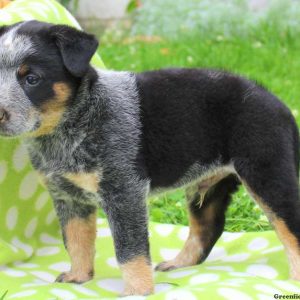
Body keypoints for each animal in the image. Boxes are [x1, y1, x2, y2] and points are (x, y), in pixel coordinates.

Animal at [0, 20, 298, 296]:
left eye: (32, 78)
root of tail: (279, 104)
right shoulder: (69, 197)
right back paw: (179, 263)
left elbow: (129, 250)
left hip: (267, 174)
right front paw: (78, 277)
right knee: (208, 228)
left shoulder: (124, 191)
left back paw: (293, 280)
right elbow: (75, 241)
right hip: (207, 185)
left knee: (289, 227)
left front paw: (137, 291)